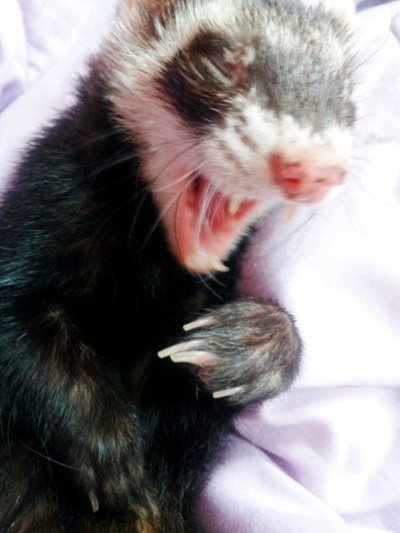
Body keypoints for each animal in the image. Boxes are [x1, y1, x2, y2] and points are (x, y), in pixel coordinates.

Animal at [0, 0, 354, 531]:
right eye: (220, 57)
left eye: (348, 88)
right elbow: (23, 337)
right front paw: (111, 452)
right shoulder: (35, 227)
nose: (312, 166)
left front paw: (250, 345)